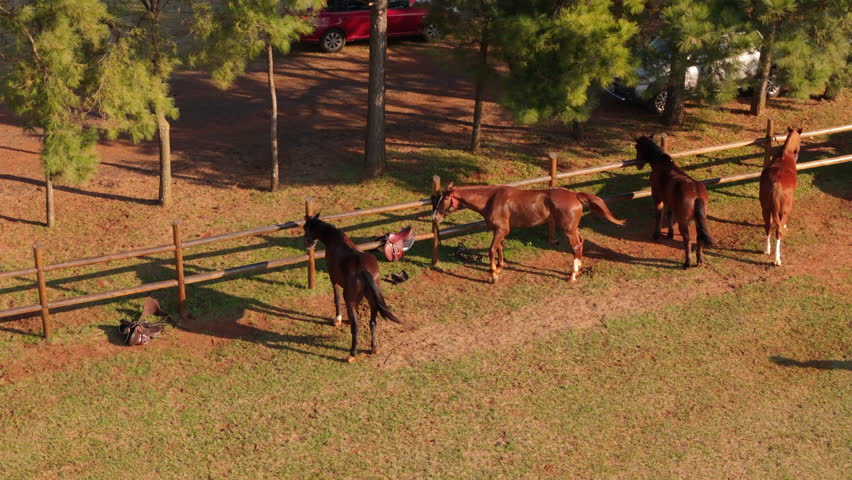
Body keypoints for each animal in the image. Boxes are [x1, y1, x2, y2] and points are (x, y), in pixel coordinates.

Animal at [303, 214, 401, 363]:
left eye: (305, 227)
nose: (307, 242)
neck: (335, 241)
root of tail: (364, 270)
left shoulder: (334, 280)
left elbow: (336, 298)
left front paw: (337, 320)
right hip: (372, 301)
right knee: (372, 322)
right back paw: (374, 348)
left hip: (350, 300)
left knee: (356, 327)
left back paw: (352, 354)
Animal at [431, 183, 625, 283]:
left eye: (443, 200)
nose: (434, 217)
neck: (491, 199)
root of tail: (575, 195)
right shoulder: (499, 230)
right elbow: (500, 248)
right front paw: (500, 267)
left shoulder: (501, 229)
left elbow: (492, 250)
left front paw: (493, 274)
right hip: (572, 228)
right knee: (581, 243)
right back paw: (578, 270)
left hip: (568, 229)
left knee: (576, 246)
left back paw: (572, 275)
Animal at [633, 135, 714, 268]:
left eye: (637, 147)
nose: (638, 164)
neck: (663, 164)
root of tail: (696, 195)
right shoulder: (669, 200)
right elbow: (669, 214)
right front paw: (670, 234)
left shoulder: (657, 198)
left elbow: (659, 215)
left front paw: (657, 234)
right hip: (698, 220)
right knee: (699, 239)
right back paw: (699, 261)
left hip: (683, 222)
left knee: (687, 240)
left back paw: (687, 263)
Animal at [760, 126, 803, 266]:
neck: (785, 154)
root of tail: (776, 184)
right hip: (784, 210)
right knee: (778, 232)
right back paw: (777, 259)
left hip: (765, 208)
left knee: (767, 227)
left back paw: (767, 249)